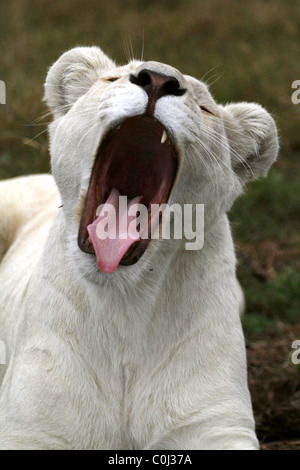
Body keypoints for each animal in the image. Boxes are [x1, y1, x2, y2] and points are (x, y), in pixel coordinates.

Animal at [0, 46, 278, 448]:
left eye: (206, 107)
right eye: (113, 78)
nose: (159, 80)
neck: (124, 303)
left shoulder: (217, 423)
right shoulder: (32, 425)